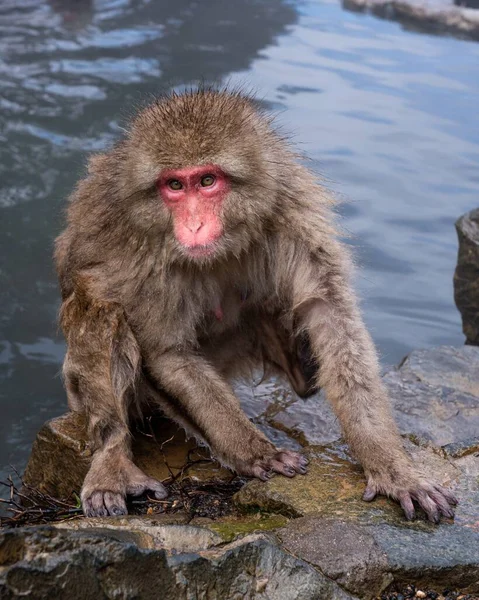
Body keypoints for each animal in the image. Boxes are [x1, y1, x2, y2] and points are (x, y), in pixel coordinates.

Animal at [55, 89, 458, 520]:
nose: (194, 226)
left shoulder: (292, 215)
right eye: (175, 185)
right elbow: (167, 351)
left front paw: (390, 465)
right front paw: (253, 453)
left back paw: (302, 372)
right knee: (102, 306)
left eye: (208, 181)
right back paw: (112, 456)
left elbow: (330, 314)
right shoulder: (143, 254)